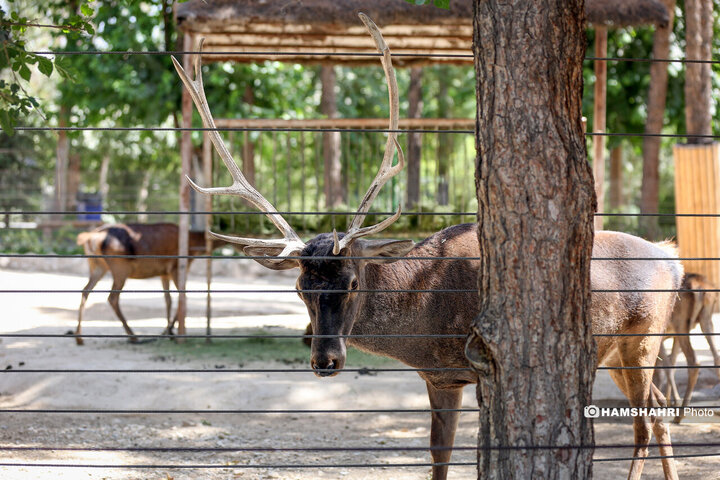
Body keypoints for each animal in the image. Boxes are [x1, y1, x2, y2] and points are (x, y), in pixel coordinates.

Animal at [74, 223, 224, 344]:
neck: (194, 246)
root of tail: (89, 237)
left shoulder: (164, 273)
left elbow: (168, 299)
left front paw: (169, 331)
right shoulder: (176, 267)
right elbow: (183, 296)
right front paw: (170, 331)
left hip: (97, 266)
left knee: (85, 290)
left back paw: (79, 337)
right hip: (120, 267)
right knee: (112, 298)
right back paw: (133, 336)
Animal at [172, 13, 684, 478]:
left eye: (352, 281)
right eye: (299, 288)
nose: (325, 360)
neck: (427, 315)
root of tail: (673, 258)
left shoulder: (483, 365)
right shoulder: (439, 377)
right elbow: (438, 455)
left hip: (643, 338)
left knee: (644, 421)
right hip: (612, 353)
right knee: (660, 410)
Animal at [660, 272, 720, 422]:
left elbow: (666, 366)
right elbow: (672, 363)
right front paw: (669, 400)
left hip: (680, 323)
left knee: (694, 361)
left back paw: (680, 414)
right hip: (706, 318)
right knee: (717, 357)